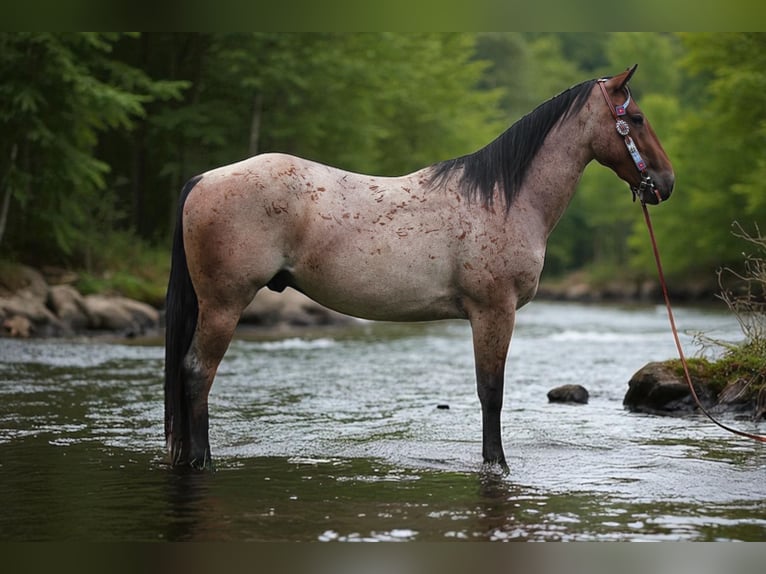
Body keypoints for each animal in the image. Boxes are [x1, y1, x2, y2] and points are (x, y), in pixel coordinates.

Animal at [164, 64, 674, 470]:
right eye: (636, 118)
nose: (666, 183)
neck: (505, 199)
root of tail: (204, 179)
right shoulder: (494, 312)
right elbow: (492, 392)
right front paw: (497, 463)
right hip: (224, 304)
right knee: (197, 371)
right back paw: (202, 461)